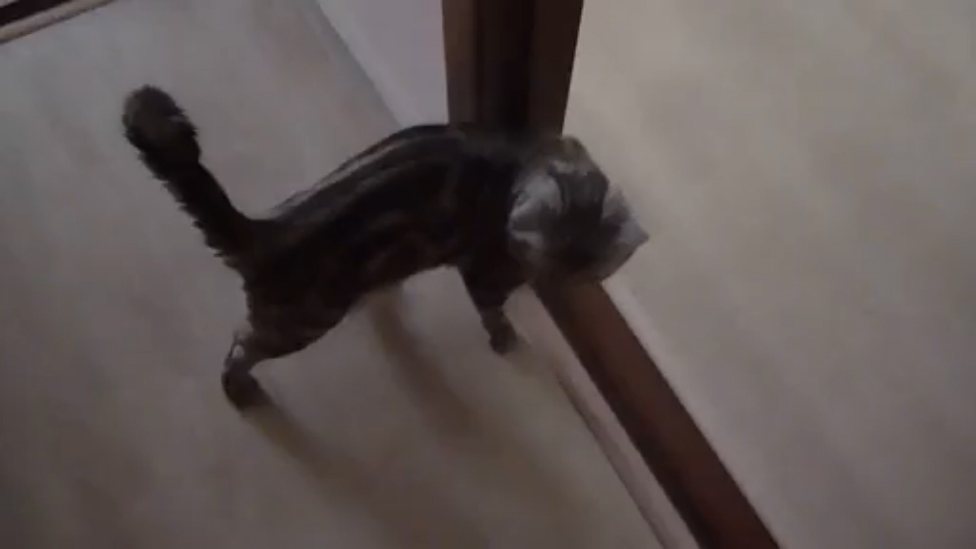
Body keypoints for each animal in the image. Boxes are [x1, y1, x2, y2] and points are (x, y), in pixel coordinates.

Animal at [123, 86, 648, 408]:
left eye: (579, 271)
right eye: (544, 259)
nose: (549, 281)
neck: (529, 159)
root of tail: (268, 229)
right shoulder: (483, 271)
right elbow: (493, 311)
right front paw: (506, 337)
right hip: (299, 322)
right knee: (239, 345)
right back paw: (241, 389)